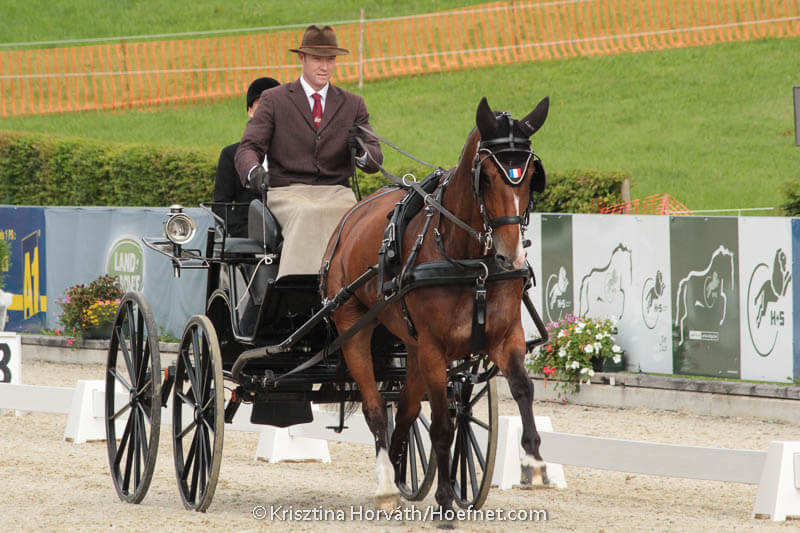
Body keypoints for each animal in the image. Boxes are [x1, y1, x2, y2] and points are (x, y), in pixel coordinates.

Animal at [321, 96, 550, 512]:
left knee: (406, 409)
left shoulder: (505, 336)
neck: (472, 263)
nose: (511, 256)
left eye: (529, 177)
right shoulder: (434, 348)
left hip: (410, 346)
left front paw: (534, 462)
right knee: (376, 407)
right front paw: (445, 495)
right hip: (353, 327)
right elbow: (442, 423)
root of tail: (351, 216)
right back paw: (386, 482)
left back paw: (399, 470)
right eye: (485, 177)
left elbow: (522, 389)